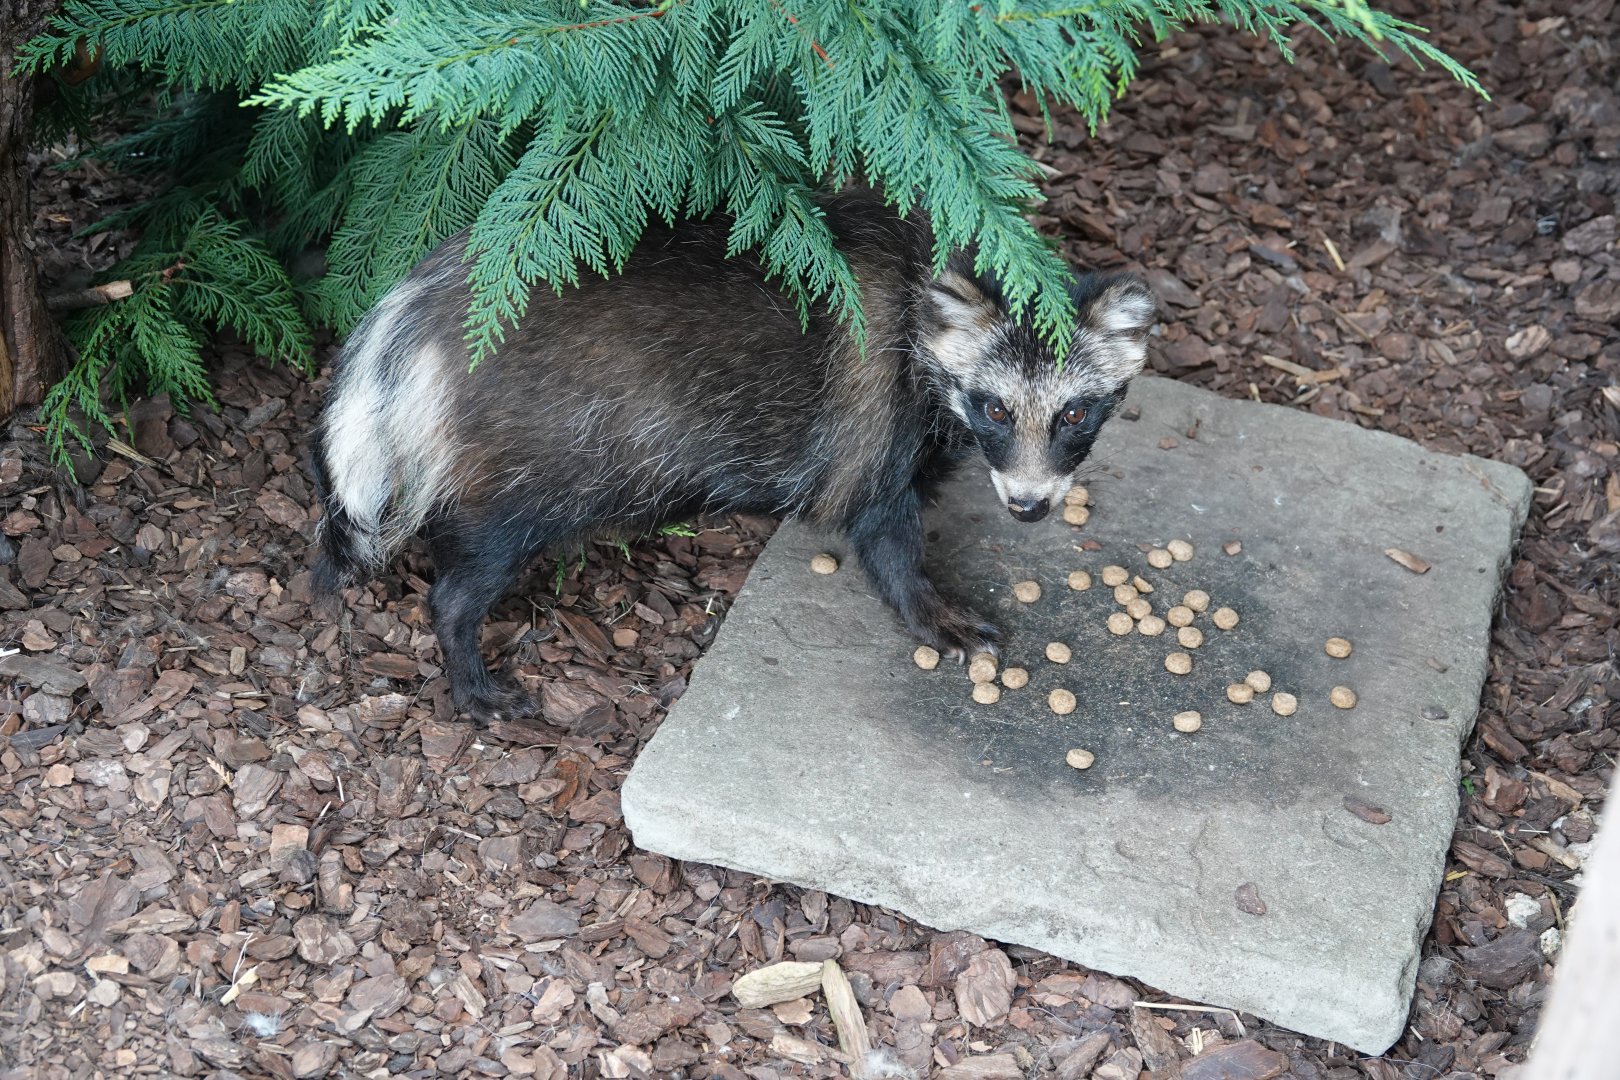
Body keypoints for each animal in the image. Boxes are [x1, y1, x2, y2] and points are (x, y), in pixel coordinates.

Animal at [312, 193, 1156, 724]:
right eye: (995, 407)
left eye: (1077, 411)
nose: (1029, 505)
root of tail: (424, 305)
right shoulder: (873, 414)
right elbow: (881, 523)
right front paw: (931, 607)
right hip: (535, 454)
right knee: (473, 563)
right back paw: (469, 664)